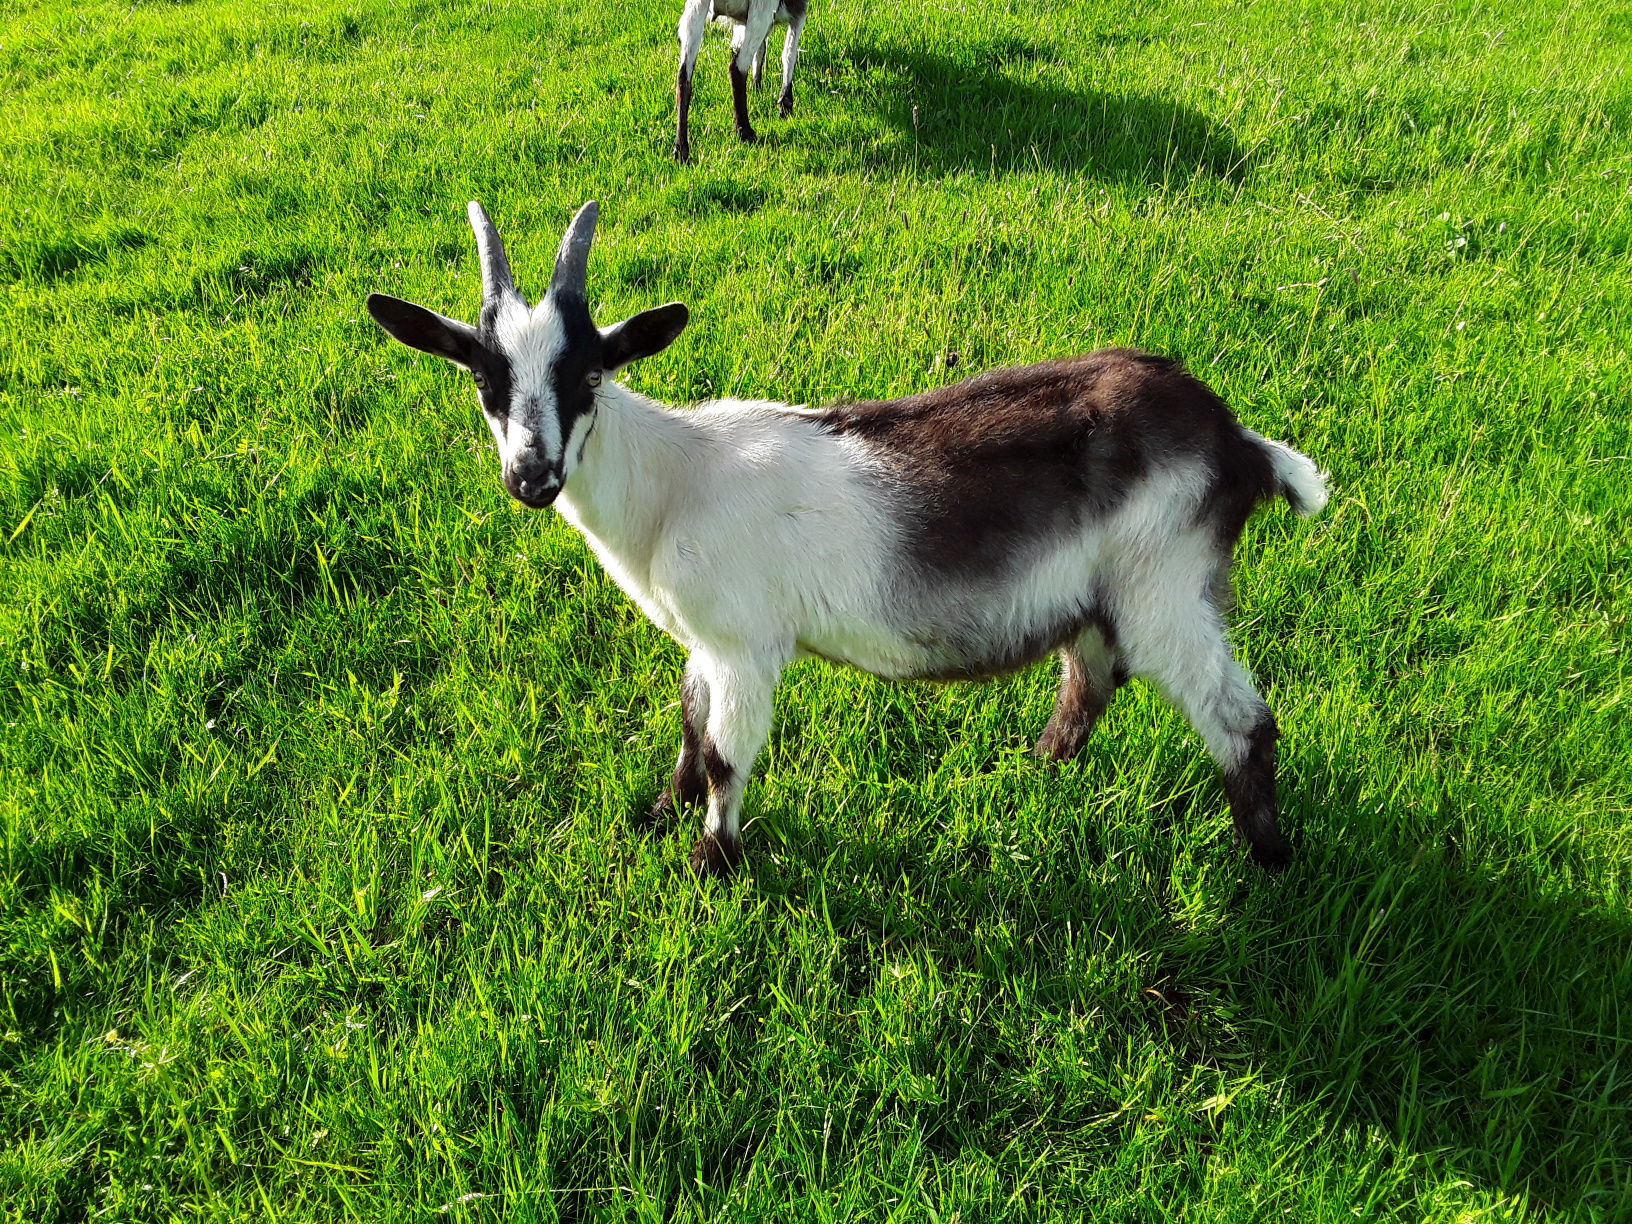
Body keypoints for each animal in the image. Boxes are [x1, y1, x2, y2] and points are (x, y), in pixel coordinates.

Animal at [367, 206, 1325, 881]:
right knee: (1089, 683)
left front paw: (710, 868)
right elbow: (688, 726)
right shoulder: (706, 643)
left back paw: (1271, 864)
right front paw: (659, 814)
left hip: (1170, 586)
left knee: (1242, 721)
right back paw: (1031, 777)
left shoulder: (748, 644)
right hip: (1105, 595)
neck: (676, 479)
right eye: (486, 380)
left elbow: (725, 754)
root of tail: (1235, 441)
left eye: (591, 374)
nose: (532, 477)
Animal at [672, 0, 806, 161]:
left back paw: (681, 150)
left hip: (696, 7)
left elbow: (760, 49)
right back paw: (745, 131)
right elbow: (789, 53)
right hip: (762, 10)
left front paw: (756, 87)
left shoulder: (742, 22)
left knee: (683, 75)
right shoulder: (799, 11)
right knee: (737, 67)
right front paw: (785, 105)